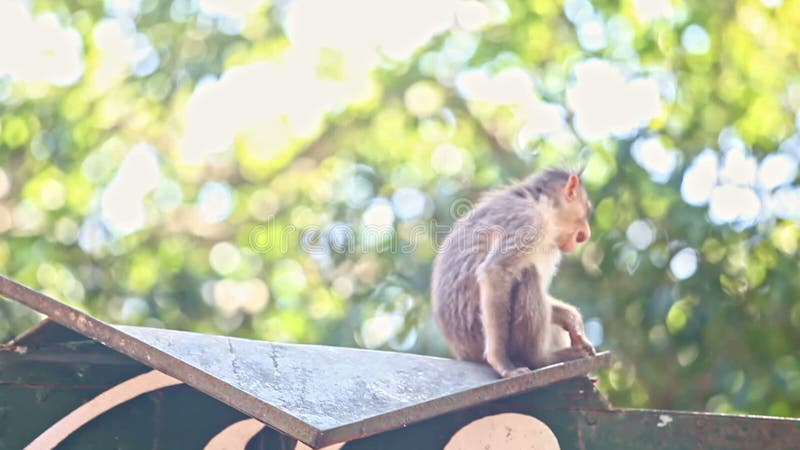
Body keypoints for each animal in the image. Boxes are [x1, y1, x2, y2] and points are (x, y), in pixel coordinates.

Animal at [432, 167, 592, 378]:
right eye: (587, 211)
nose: (587, 233)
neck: (541, 205)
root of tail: (462, 353)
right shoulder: (529, 221)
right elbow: (495, 272)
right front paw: (501, 363)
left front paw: (570, 317)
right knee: (528, 273)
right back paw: (542, 359)